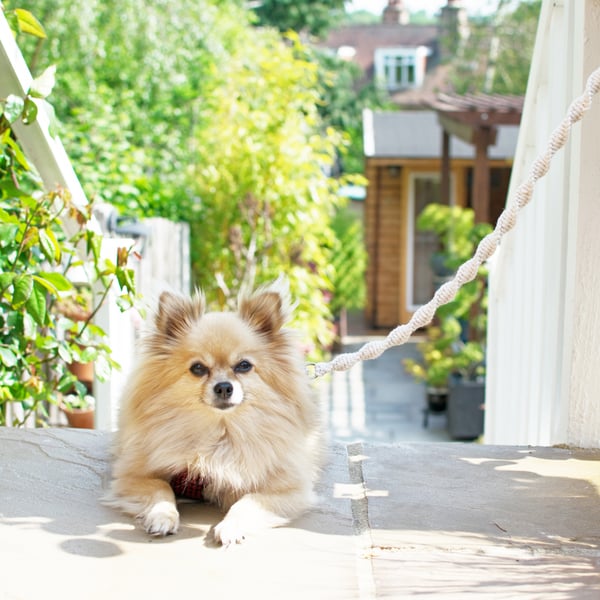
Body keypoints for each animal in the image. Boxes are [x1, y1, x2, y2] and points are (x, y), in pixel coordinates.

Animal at [106, 278, 324, 548]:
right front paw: (162, 515)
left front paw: (231, 526)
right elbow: (160, 488)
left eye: (244, 366)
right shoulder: (131, 476)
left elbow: (248, 501)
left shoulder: (288, 489)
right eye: (198, 368)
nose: (224, 387)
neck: (220, 433)